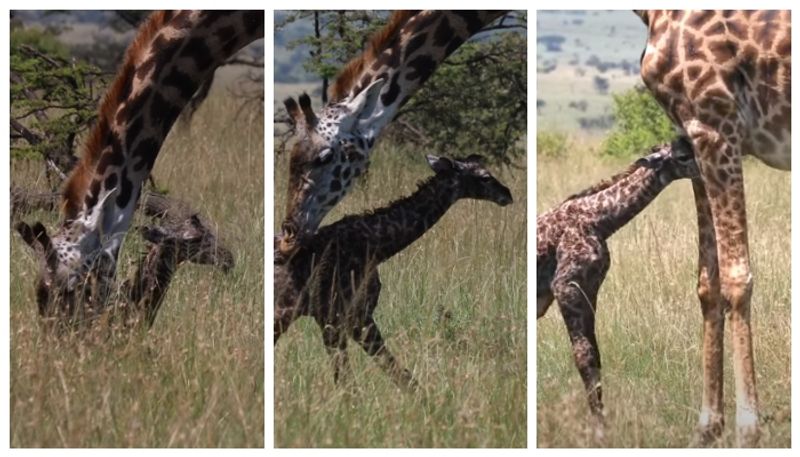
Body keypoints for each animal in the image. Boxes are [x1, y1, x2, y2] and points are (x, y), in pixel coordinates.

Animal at [276, 154, 512, 388]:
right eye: (485, 177)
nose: (507, 194)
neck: (376, 246)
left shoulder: (357, 318)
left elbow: (398, 374)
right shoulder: (334, 317)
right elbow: (350, 380)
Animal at [540, 138, 696, 420]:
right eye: (682, 156)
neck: (600, 221)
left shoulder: (590, 287)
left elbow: (596, 356)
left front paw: (601, 416)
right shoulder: (565, 287)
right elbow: (583, 356)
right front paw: (597, 422)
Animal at [640, 9, 792, 446]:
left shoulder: (716, 125)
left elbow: (737, 279)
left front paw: (748, 428)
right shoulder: (692, 136)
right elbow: (708, 284)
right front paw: (708, 427)